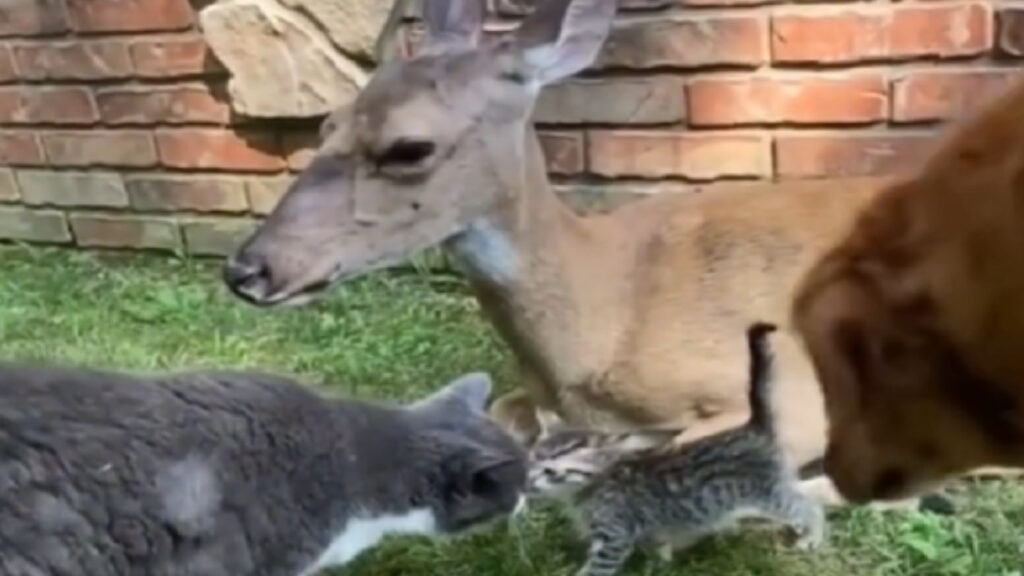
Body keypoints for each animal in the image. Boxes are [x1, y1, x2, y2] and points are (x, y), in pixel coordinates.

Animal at [524, 323, 827, 573]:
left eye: (551, 471)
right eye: (532, 460)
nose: (526, 485)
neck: (593, 488)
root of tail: (754, 426)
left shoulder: (613, 537)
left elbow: (597, 568)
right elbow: (658, 545)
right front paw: (660, 561)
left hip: (768, 493)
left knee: (805, 505)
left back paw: (812, 534)